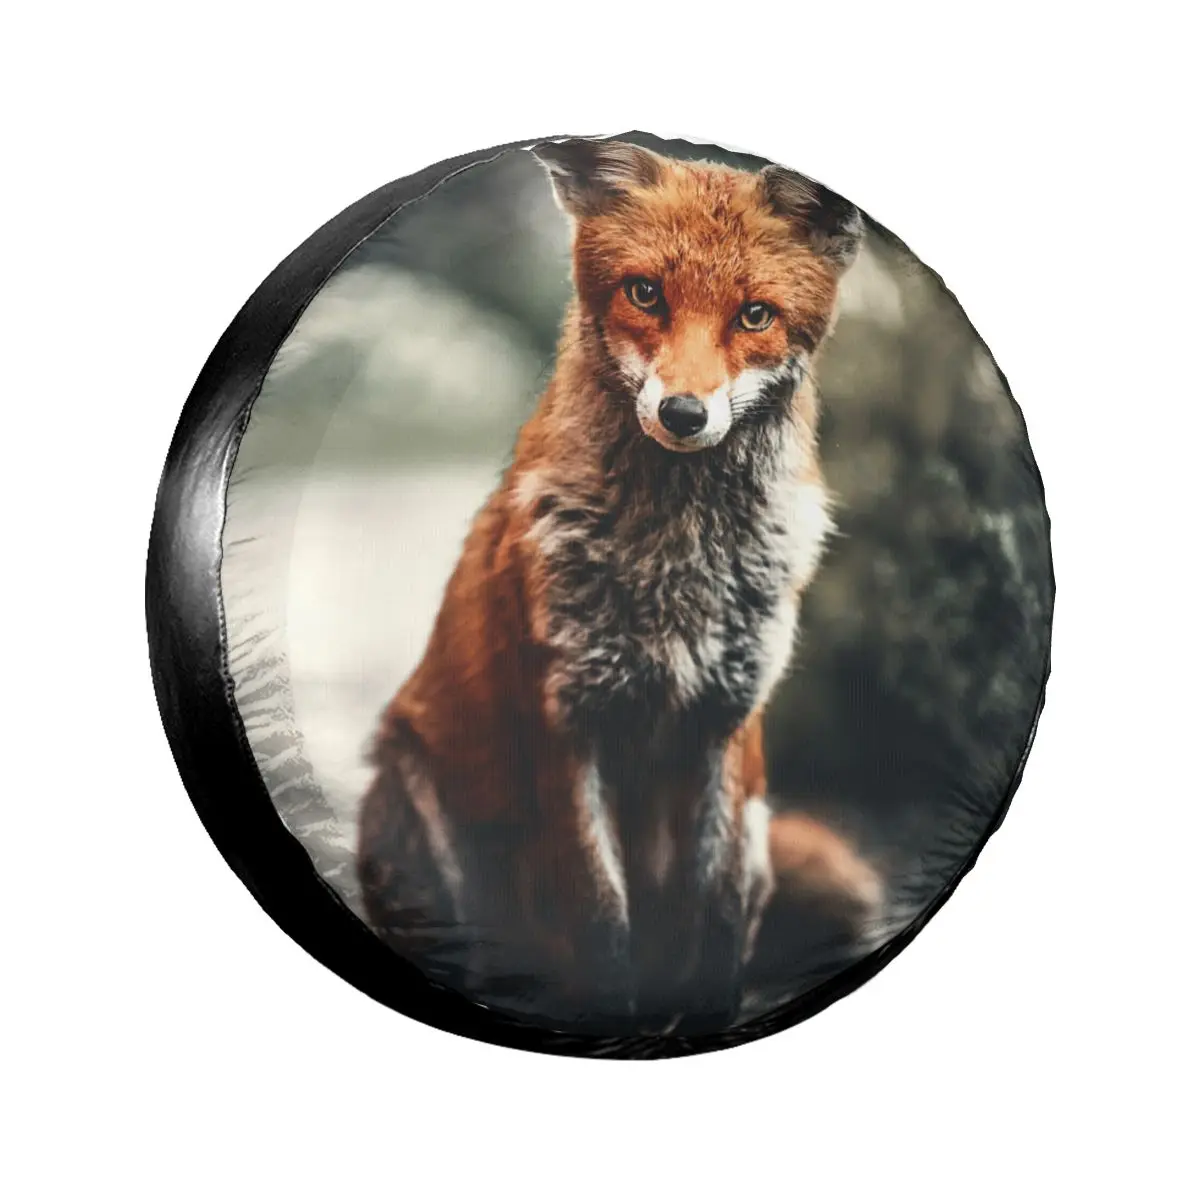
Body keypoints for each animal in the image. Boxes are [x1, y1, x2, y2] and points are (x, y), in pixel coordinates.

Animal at [357, 137, 884, 1036]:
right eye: (645, 293)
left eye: (755, 315)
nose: (682, 414)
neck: (677, 570)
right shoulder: (568, 723)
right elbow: (602, 920)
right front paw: (613, 1026)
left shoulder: (724, 723)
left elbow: (714, 919)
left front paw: (703, 1019)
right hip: (414, 809)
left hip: (757, 821)